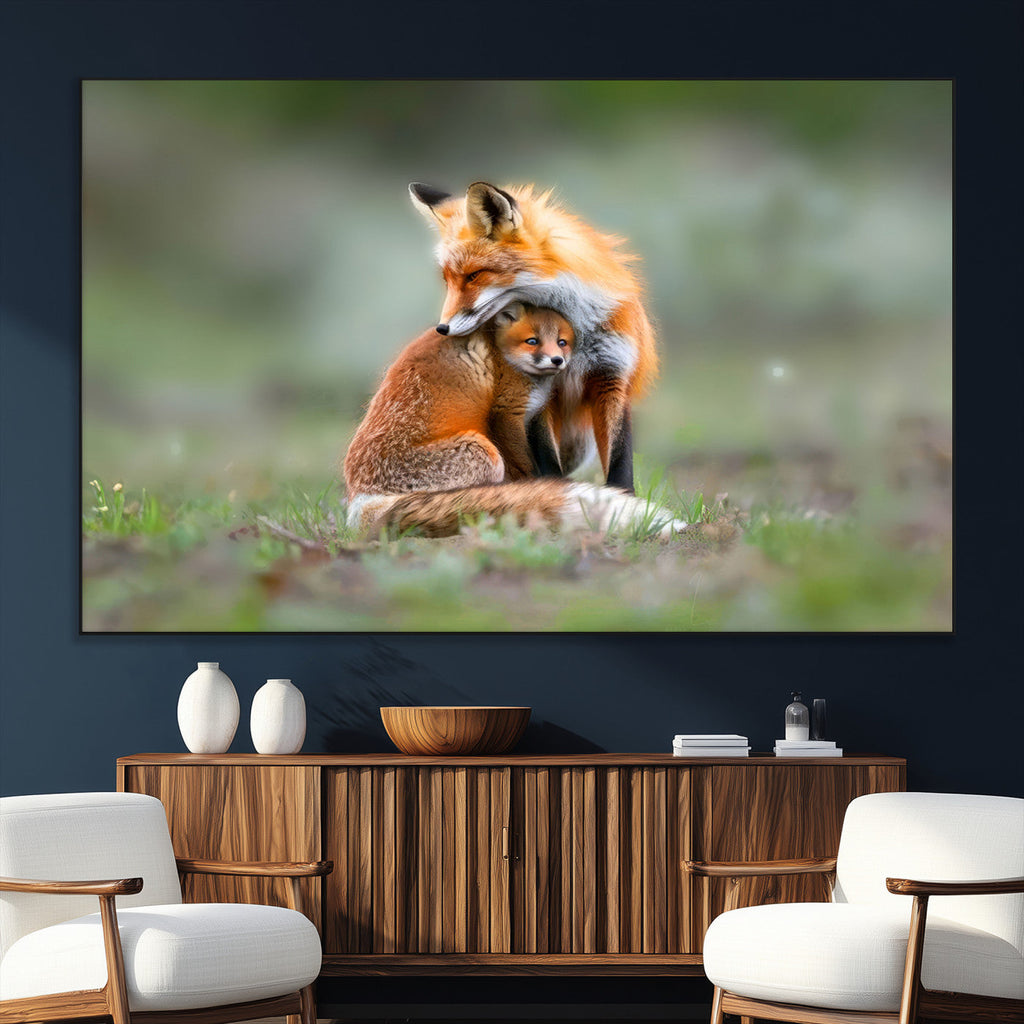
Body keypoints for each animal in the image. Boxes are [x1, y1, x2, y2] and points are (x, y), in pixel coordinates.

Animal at [409, 180, 658, 494]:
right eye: (448, 280)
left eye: (474, 275)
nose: (442, 328)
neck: (575, 332)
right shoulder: (540, 391)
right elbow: (547, 460)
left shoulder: (612, 377)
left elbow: (620, 461)